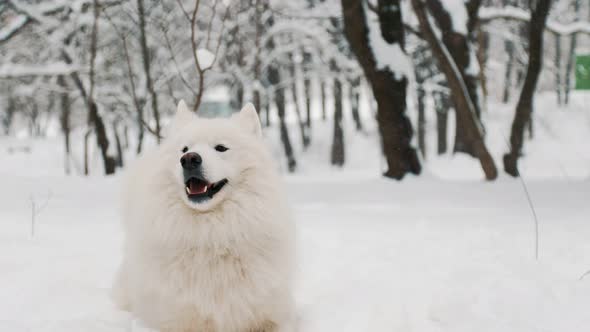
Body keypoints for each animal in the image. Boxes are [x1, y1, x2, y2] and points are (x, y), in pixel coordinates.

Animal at [112, 101, 296, 332]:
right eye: (184, 149)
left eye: (221, 148)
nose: (189, 159)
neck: (211, 234)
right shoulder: (175, 319)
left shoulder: (271, 315)